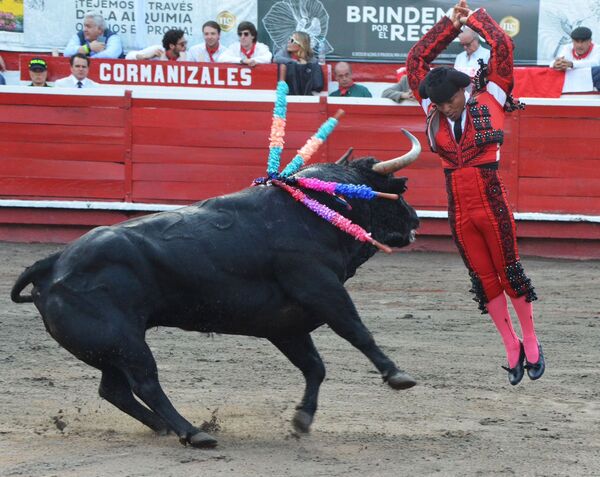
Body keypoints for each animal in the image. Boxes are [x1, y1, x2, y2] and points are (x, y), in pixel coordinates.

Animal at [11, 130, 421, 449]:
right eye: (397, 189)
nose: (416, 219)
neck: (318, 209)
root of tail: (56, 261)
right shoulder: (321, 289)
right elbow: (357, 332)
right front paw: (397, 375)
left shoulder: (286, 325)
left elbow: (314, 367)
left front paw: (302, 419)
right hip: (124, 342)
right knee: (145, 384)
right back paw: (193, 432)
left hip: (110, 347)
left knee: (114, 390)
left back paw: (166, 428)